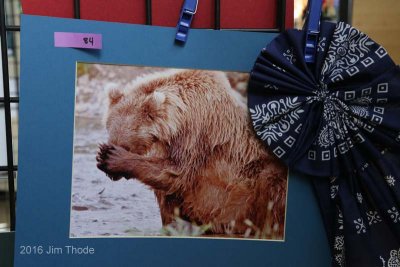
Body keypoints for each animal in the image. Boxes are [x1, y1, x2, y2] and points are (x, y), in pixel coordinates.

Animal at [98, 69, 290, 239]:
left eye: (125, 145)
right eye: (110, 133)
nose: (110, 173)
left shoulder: (196, 135)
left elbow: (176, 172)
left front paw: (115, 159)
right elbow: (168, 197)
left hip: (256, 185)